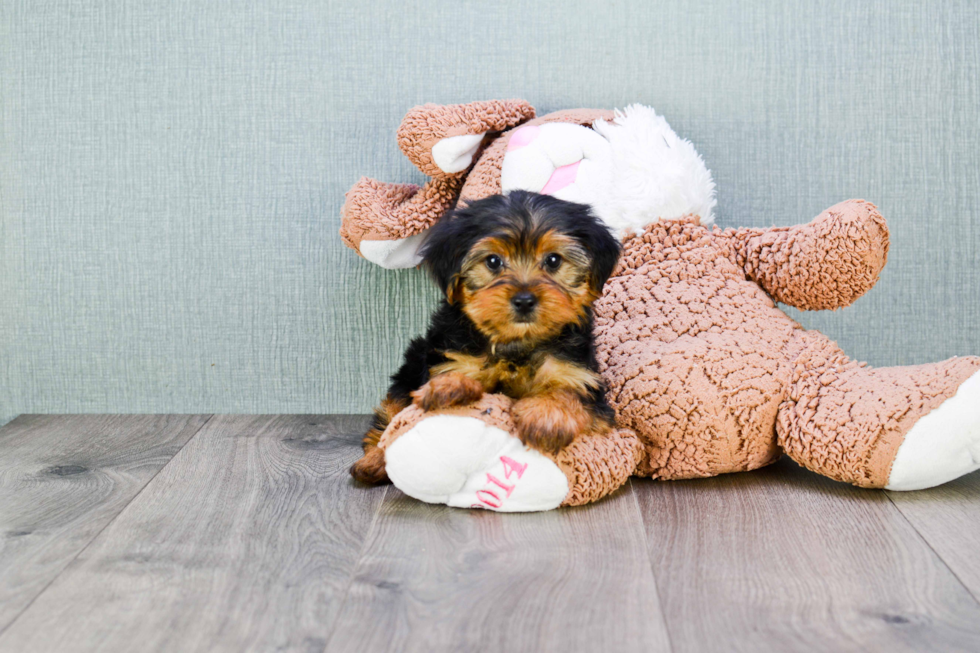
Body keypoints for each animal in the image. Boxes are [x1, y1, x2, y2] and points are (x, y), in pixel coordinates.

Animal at [350, 190, 620, 484]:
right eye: (493, 261)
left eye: (553, 260)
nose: (524, 300)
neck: (516, 343)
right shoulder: (448, 354)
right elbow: (452, 375)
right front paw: (449, 387)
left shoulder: (582, 379)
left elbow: (571, 392)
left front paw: (547, 415)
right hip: (410, 366)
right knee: (391, 417)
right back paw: (374, 461)